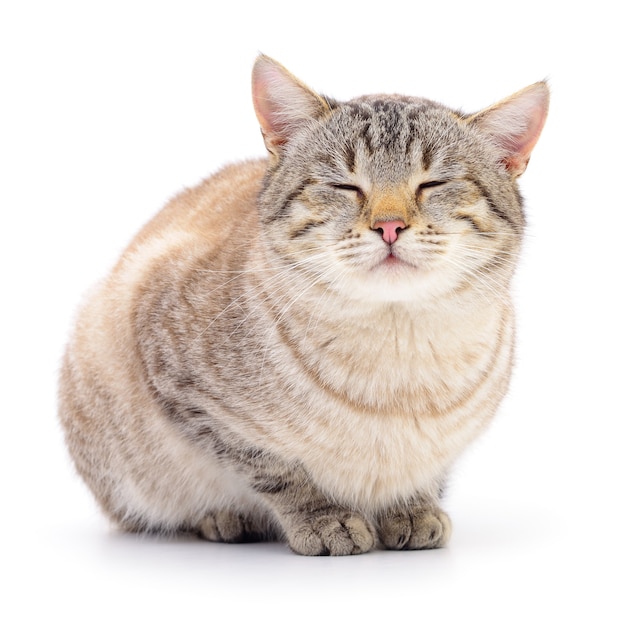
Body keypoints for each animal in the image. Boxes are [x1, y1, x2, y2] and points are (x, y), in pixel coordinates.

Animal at [57, 53, 548, 552]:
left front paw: (411, 509)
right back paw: (224, 519)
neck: (398, 357)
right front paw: (325, 519)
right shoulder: (180, 380)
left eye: (434, 184)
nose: (389, 226)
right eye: (345, 186)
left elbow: (424, 474)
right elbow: (277, 470)